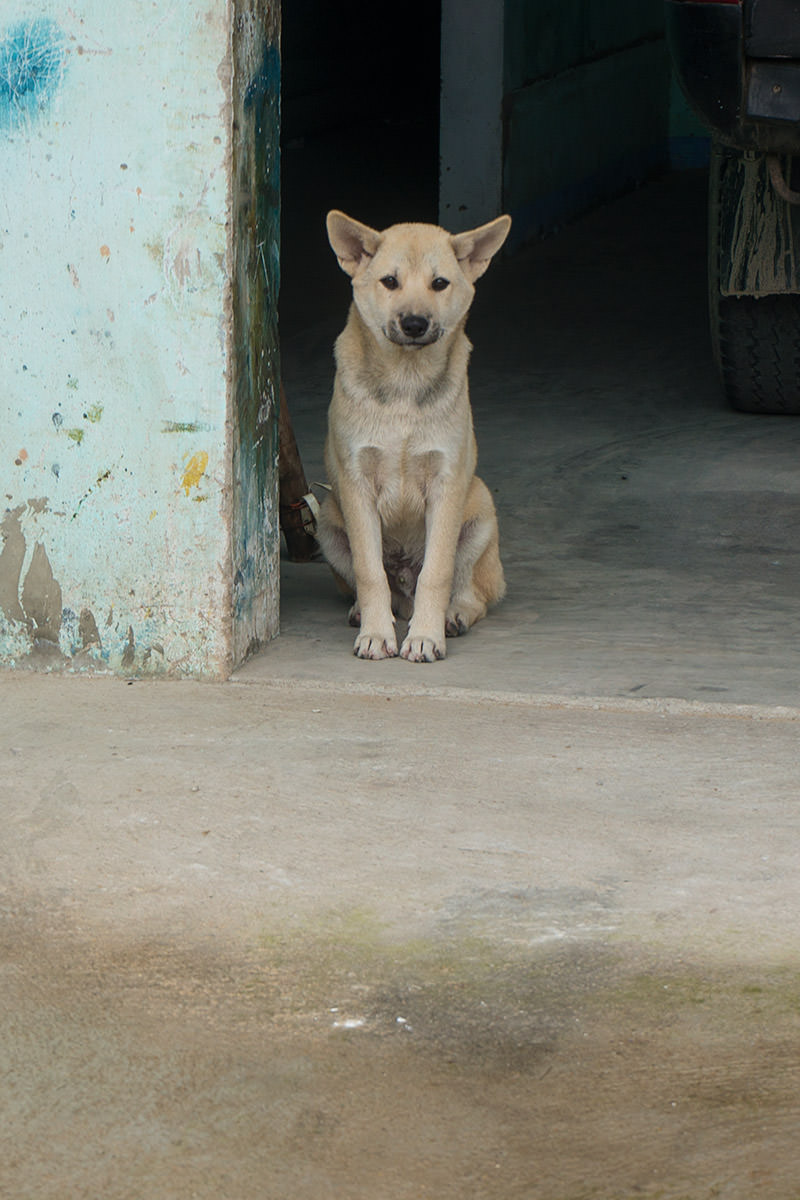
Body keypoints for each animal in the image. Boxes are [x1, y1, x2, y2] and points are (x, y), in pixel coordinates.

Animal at [316, 213, 510, 667]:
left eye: (440, 283)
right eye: (390, 281)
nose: (415, 324)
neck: (405, 384)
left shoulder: (447, 484)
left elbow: (436, 574)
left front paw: (425, 637)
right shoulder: (355, 485)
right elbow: (369, 573)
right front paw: (375, 634)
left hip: (479, 508)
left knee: (471, 592)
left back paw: (453, 615)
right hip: (328, 522)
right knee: (380, 586)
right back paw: (367, 612)